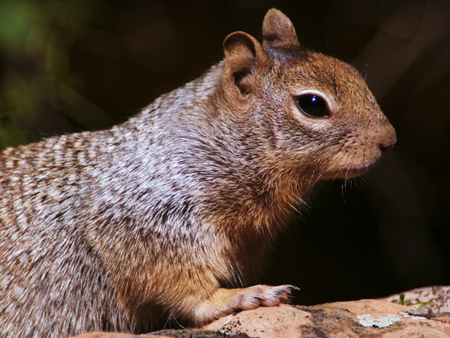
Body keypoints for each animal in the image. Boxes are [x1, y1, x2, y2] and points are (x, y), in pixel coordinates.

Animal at [0, 7, 394, 338]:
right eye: (312, 104)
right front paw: (244, 296)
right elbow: (189, 293)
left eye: (353, 72)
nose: (389, 140)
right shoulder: (151, 223)